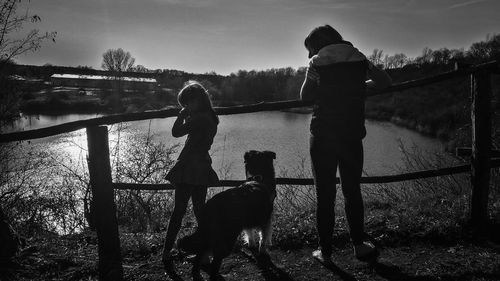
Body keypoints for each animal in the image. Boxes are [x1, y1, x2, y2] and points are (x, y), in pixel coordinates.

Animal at [177, 150, 278, 280]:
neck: (259, 177)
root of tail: (211, 206)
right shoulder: (266, 219)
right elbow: (264, 237)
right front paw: (263, 251)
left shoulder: (249, 220)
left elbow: (250, 233)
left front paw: (251, 245)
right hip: (227, 237)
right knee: (215, 260)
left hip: (209, 234)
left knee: (200, 253)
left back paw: (197, 274)